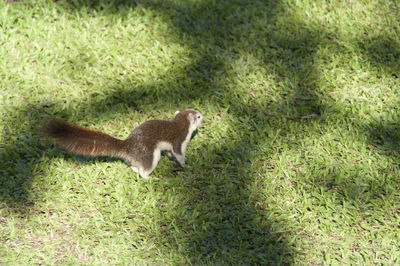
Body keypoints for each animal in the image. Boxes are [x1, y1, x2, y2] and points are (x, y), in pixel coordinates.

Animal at [43, 109, 203, 180]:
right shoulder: (179, 140)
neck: (179, 125)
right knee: (144, 170)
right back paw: (151, 178)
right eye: (199, 115)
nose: (204, 117)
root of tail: (128, 144)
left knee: (134, 166)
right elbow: (179, 154)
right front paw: (186, 165)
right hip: (151, 154)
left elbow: (170, 153)